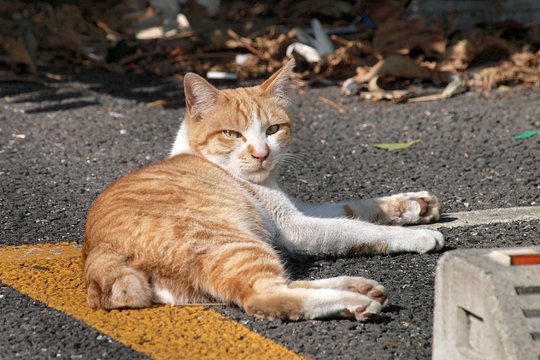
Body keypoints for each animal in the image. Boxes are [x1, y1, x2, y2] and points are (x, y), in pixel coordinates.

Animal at [81, 59, 442, 320]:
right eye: (231, 134)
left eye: (273, 129)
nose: (261, 153)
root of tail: (100, 254)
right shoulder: (294, 227)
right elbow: (359, 229)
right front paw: (419, 235)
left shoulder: (298, 208)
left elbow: (355, 209)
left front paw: (415, 205)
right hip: (235, 244)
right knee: (268, 296)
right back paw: (354, 301)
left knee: (288, 284)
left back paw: (359, 288)